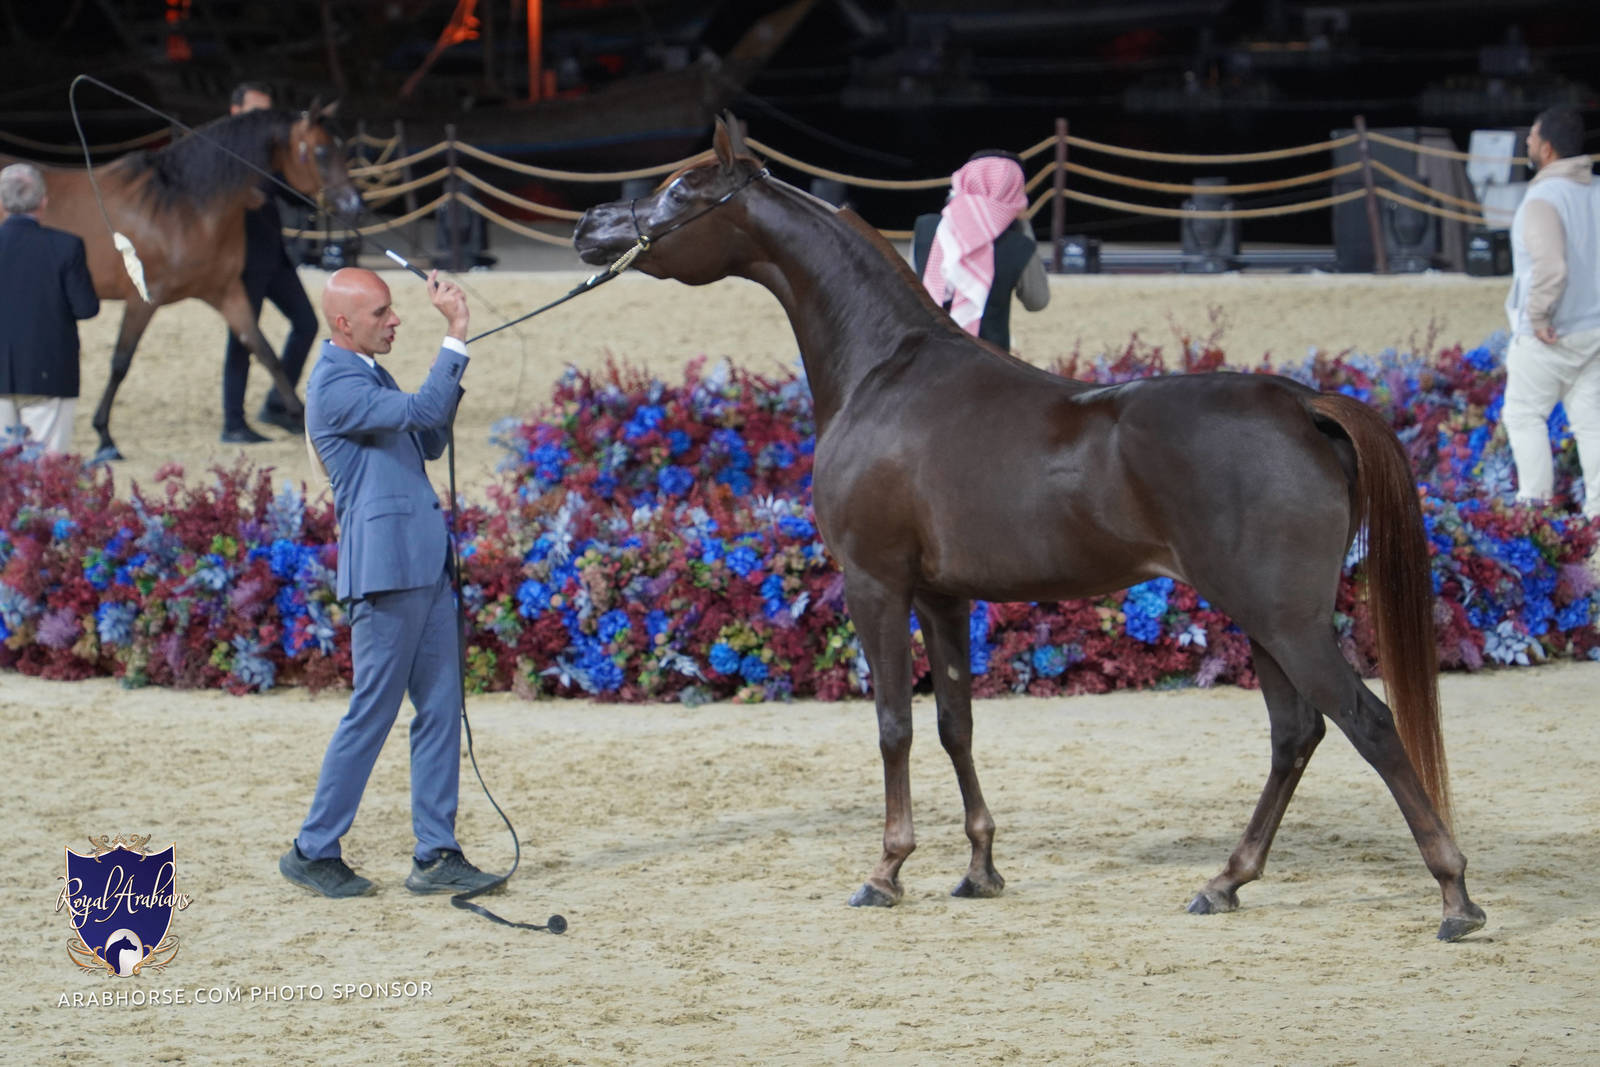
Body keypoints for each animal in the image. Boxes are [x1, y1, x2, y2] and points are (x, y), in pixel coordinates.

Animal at [1, 103, 362, 461]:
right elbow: (120, 363)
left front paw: (300, 418)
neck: (183, 206)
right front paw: (105, 437)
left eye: (342, 148)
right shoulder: (142, 300)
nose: (354, 204)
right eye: (320, 150)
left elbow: (264, 350)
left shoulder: (227, 293)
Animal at [573, 115, 1488, 942]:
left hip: (1285, 618)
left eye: (681, 191)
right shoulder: (942, 598)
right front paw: (979, 868)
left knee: (1369, 724)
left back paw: (1454, 896)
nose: (590, 226)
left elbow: (894, 724)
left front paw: (886, 870)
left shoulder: (876, 584)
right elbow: (956, 722)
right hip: (1265, 619)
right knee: (1296, 733)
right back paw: (1225, 882)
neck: (885, 372)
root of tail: (1301, 402)